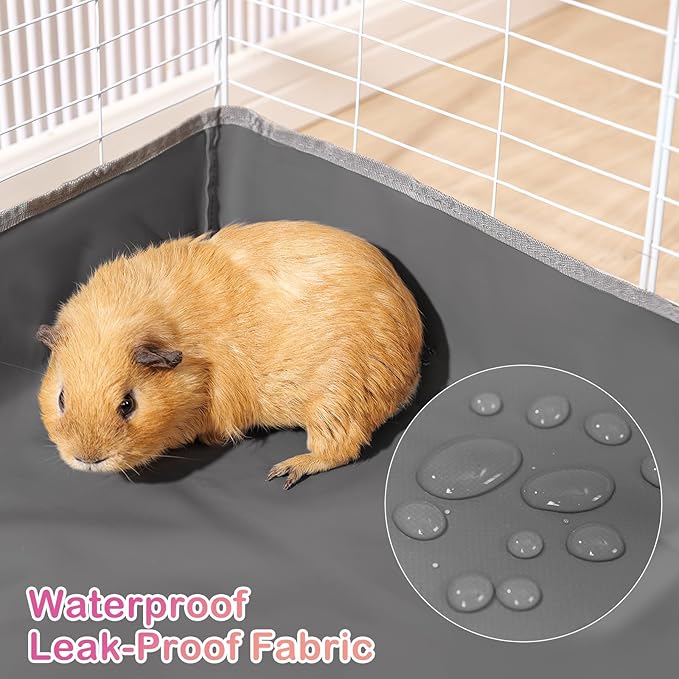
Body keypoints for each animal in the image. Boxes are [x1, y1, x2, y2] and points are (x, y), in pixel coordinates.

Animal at [37, 220, 423, 488]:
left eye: (128, 404)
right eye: (61, 398)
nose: (88, 457)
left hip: (334, 404)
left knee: (342, 449)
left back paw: (285, 472)